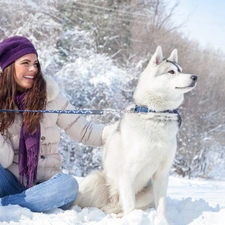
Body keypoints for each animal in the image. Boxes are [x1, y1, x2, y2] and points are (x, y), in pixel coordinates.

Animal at [74, 45, 197, 223]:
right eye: (171, 72)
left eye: (181, 70)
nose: (194, 77)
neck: (156, 115)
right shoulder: (128, 173)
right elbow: (130, 204)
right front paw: (133, 220)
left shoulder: (162, 174)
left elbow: (161, 206)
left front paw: (162, 221)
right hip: (94, 181)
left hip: (148, 192)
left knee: (120, 208)